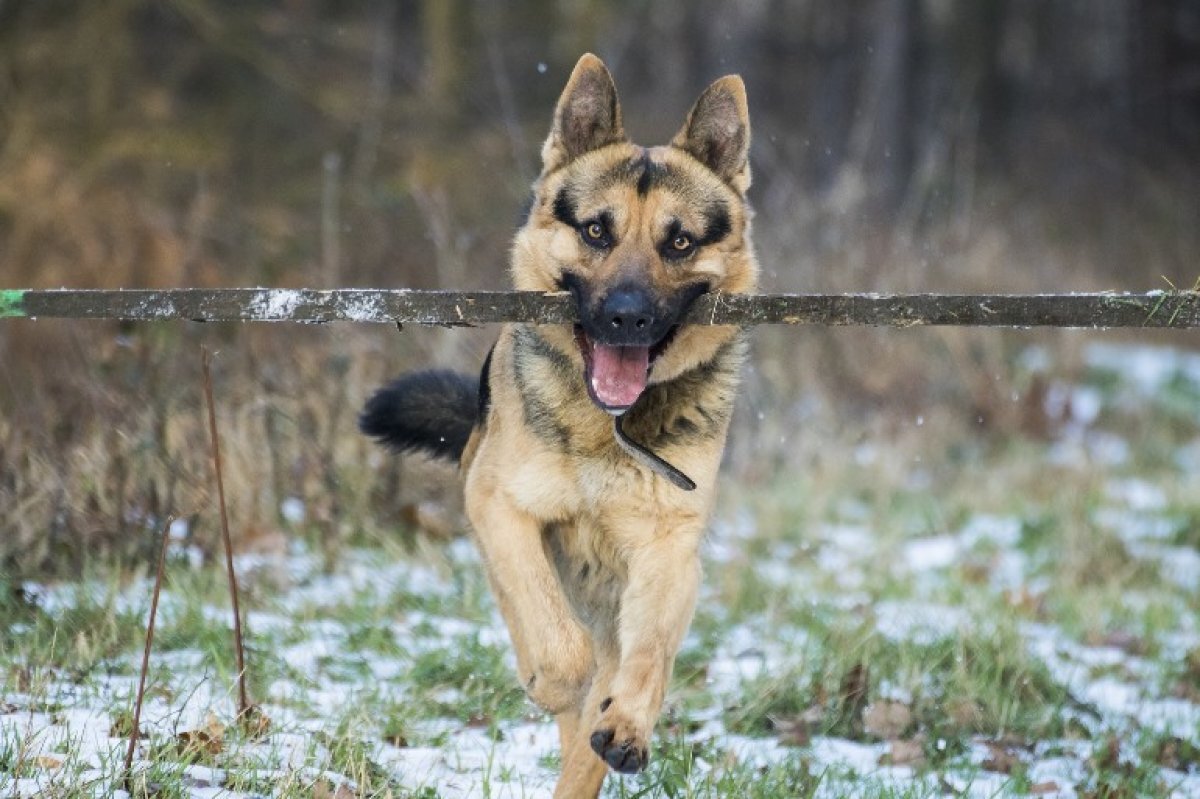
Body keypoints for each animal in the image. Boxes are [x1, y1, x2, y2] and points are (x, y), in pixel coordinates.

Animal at [357, 52, 758, 791]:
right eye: (596, 230)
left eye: (679, 242)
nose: (627, 317)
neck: (607, 429)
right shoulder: (501, 507)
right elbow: (555, 640)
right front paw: (553, 681)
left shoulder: (669, 551)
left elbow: (649, 657)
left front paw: (627, 723)